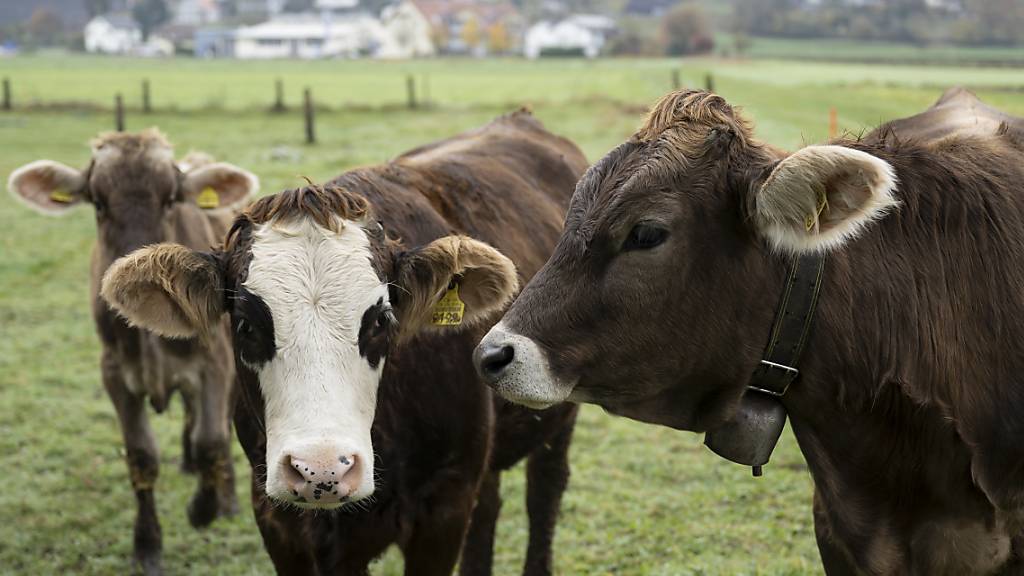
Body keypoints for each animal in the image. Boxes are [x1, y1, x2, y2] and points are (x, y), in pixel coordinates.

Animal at [7, 130, 258, 573]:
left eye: (170, 199)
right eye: (98, 202)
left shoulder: (216, 363)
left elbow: (211, 439)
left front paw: (204, 508)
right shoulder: (115, 373)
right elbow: (141, 456)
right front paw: (147, 545)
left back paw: (223, 495)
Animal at [103, 112, 589, 573]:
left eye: (380, 320)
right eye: (245, 325)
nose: (320, 468)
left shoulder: (443, 510)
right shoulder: (278, 521)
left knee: (544, 492)